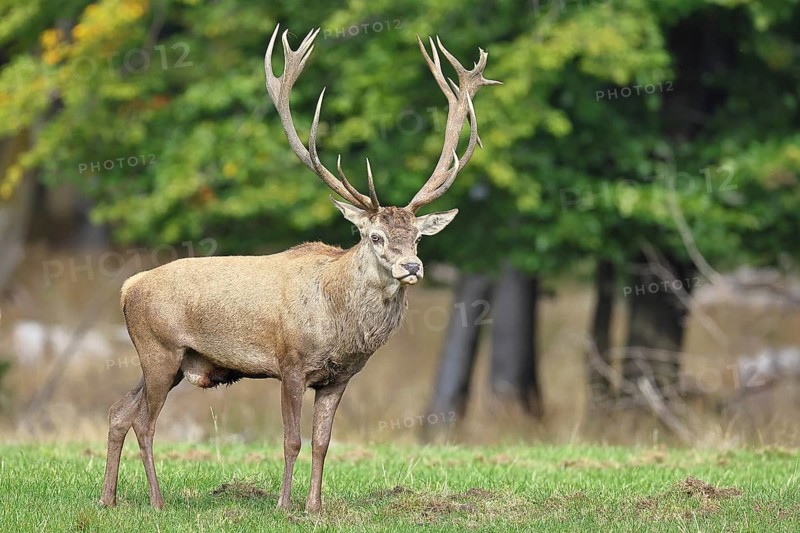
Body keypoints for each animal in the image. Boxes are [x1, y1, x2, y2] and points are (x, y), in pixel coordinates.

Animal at [99, 24, 499, 514]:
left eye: (419, 237)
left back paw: (107, 499)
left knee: (119, 411)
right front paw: (284, 505)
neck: (339, 321)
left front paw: (315, 507)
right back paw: (156, 502)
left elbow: (323, 442)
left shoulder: (337, 378)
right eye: (375, 236)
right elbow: (291, 440)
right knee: (144, 421)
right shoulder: (289, 364)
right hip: (160, 350)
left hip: (171, 361)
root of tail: (127, 287)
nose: (412, 266)